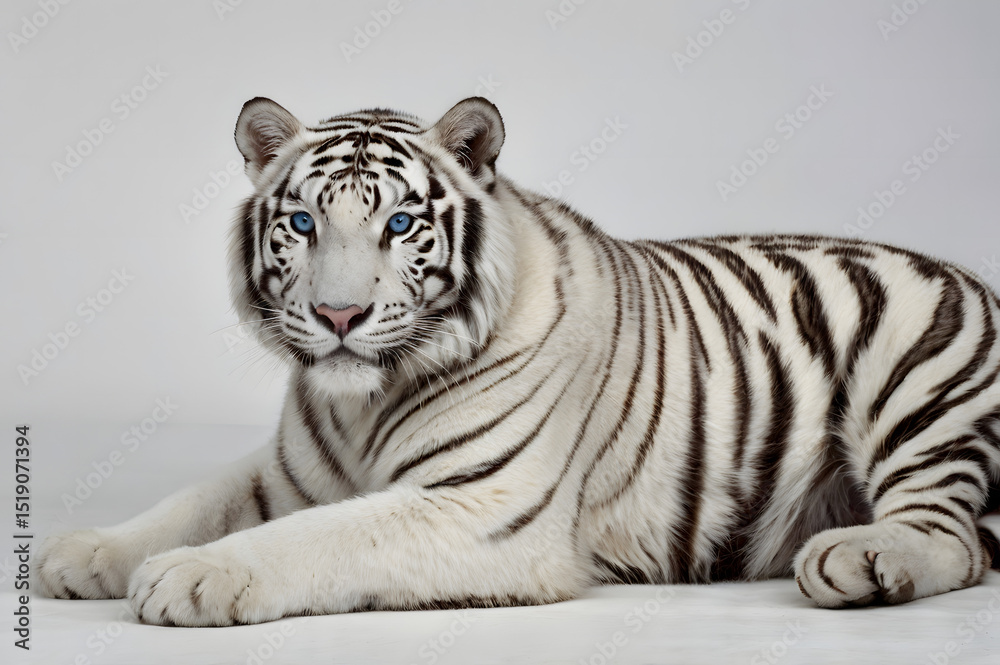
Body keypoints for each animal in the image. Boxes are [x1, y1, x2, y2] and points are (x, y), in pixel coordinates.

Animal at [37, 96, 1000, 627]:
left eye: (399, 224)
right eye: (303, 222)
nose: (339, 315)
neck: (361, 403)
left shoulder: (484, 506)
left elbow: (320, 536)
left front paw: (195, 575)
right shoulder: (288, 473)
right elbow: (191, 502)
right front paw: (81, 553)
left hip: (915, 386)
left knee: (953, 539)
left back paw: (856, 561)